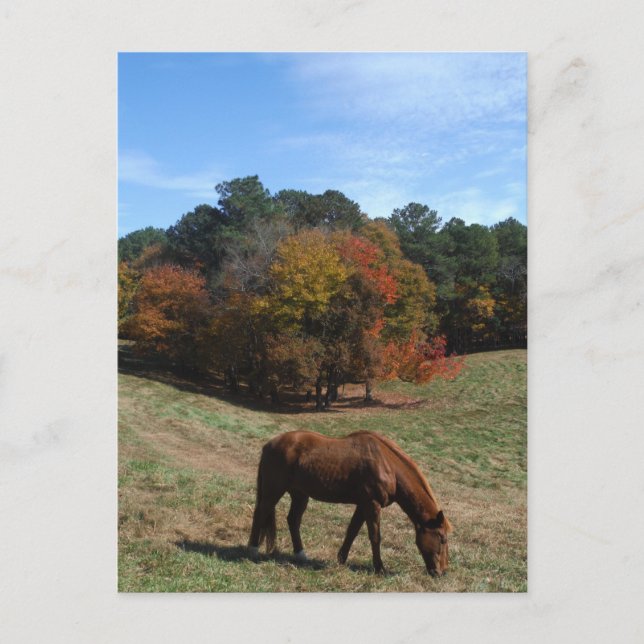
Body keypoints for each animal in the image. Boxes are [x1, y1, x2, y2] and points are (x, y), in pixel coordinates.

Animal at [248, 430, 452, 576]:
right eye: (442, 538)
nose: (441, 572)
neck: (387, 464)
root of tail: (269, 444)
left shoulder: (362, 505)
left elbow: (352, 532)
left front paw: (341, 560)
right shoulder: (371, 504)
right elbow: (375, 536)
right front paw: (379, 568)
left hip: (300, 495)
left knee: (293, 520)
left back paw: (301, 554)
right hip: (273, 490)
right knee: (260, 513)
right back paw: (252, 550)